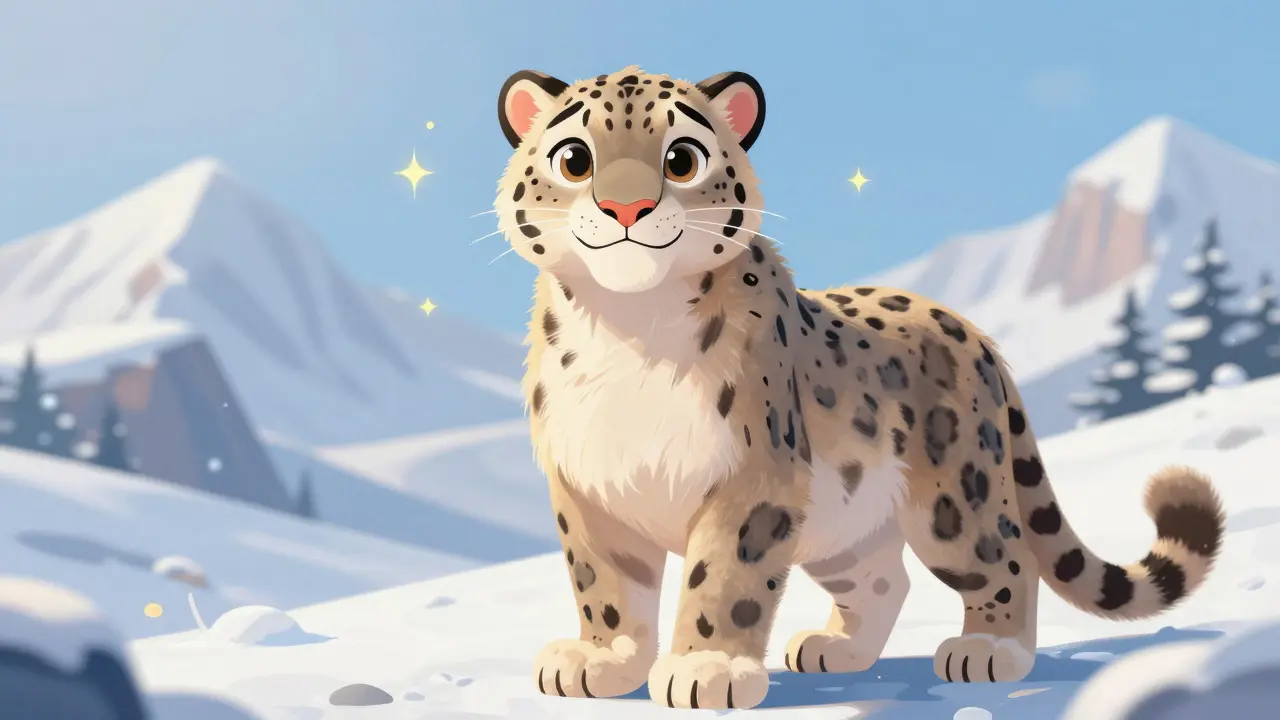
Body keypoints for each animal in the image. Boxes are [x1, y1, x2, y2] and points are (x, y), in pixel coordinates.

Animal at [491, 65, 1226, 710]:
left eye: (681, 158)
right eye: (575, 158)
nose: (626, 206)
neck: (630, 328)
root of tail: (970, 329)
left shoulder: (754, 478)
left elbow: (725, 576)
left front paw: (708, 667)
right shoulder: (588, 483)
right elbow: (603, 579)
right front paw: (602, 658)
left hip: (955, 497)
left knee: (1006, 557)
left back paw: (990, 649)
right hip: (844, 520)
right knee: (882, 578)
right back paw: (834, 648)